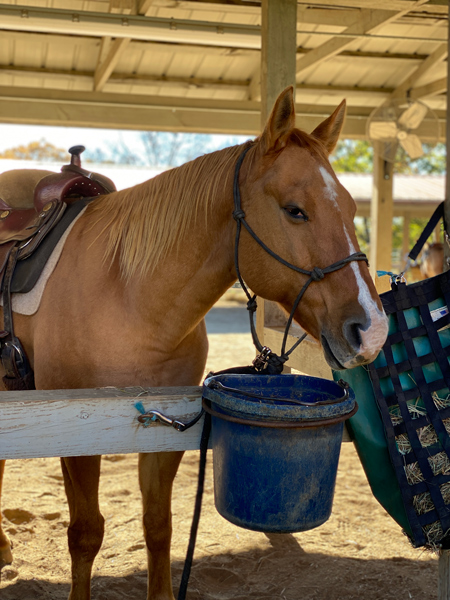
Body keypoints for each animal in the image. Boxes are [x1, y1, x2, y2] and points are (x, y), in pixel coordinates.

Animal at [0, 85, 386, 600]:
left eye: (351, 208)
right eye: (294, 210)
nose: (373, 329)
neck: (128, 297)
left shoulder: (165, 428)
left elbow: (158, 525)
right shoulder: (74, 434)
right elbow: (85, 533)